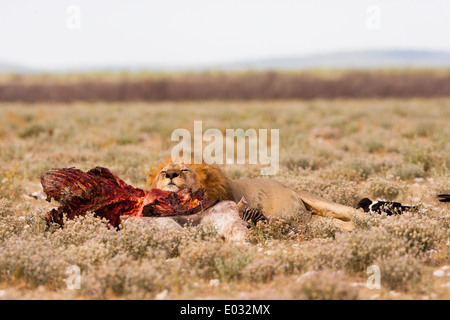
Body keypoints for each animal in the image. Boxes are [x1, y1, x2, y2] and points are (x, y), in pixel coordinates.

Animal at [147, 157, 362, 230]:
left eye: (184, 169)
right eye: (163, 172)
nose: (171, 175)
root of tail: (292, 189)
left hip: (304, 214)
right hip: (305, 217)